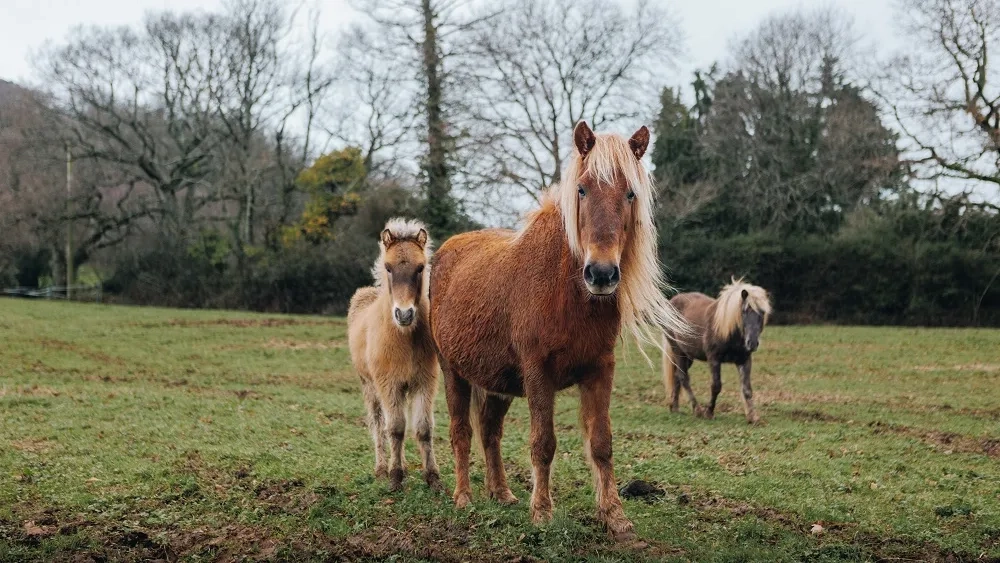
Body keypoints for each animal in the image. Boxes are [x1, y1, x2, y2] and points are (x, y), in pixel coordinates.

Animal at [347, 218, 441, 492]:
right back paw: (381, 468)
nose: (405, 314)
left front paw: (432, 478)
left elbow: (423, 428)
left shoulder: (424, 383)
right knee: (378, 424)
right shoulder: (389, 385)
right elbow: (396, 429)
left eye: (420, 268)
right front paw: (395, 477)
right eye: (388, 268)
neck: (404, 338)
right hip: (369, 386)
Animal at [429, 121, 688, 541]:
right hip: (454, 373)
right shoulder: (538, 373)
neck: (565, 290)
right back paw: (464, 497)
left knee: (490, 431)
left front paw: (614, 516)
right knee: (461, 432)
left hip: (497, 382)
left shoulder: (600, 370)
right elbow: (543, 443)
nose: (602, 274)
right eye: (581, 189)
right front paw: (542, 513)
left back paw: (501, 493)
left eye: (630, 192)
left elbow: (601, 443)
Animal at [662, 279, 771, 424]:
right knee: (683, 377)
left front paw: (753, 417)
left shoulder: (744, 360)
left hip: (688, 355)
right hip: (678, 351)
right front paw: (709, 412)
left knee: (676, 376)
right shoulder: (714, 359)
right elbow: (716, 386)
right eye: (744, 311)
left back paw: (674, 407)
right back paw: (697, 410)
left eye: (762, 312)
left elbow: (747, 389)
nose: (752, 343)